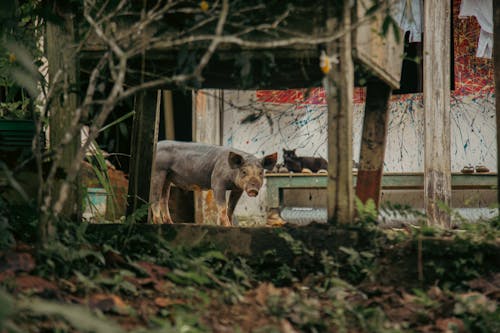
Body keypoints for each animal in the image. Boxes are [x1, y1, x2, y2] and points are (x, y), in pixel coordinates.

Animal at [150, 140, 280, 226]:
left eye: (260, 172)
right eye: (244, 171)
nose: (253, 190)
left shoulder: (238, 189)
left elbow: (230, 208)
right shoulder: (217, 183)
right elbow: (222, 208)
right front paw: (227, 227)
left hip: (167, 177)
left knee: (164, 199)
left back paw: (170, 223)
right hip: (158, 171)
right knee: (155, 198)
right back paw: (158, 223)